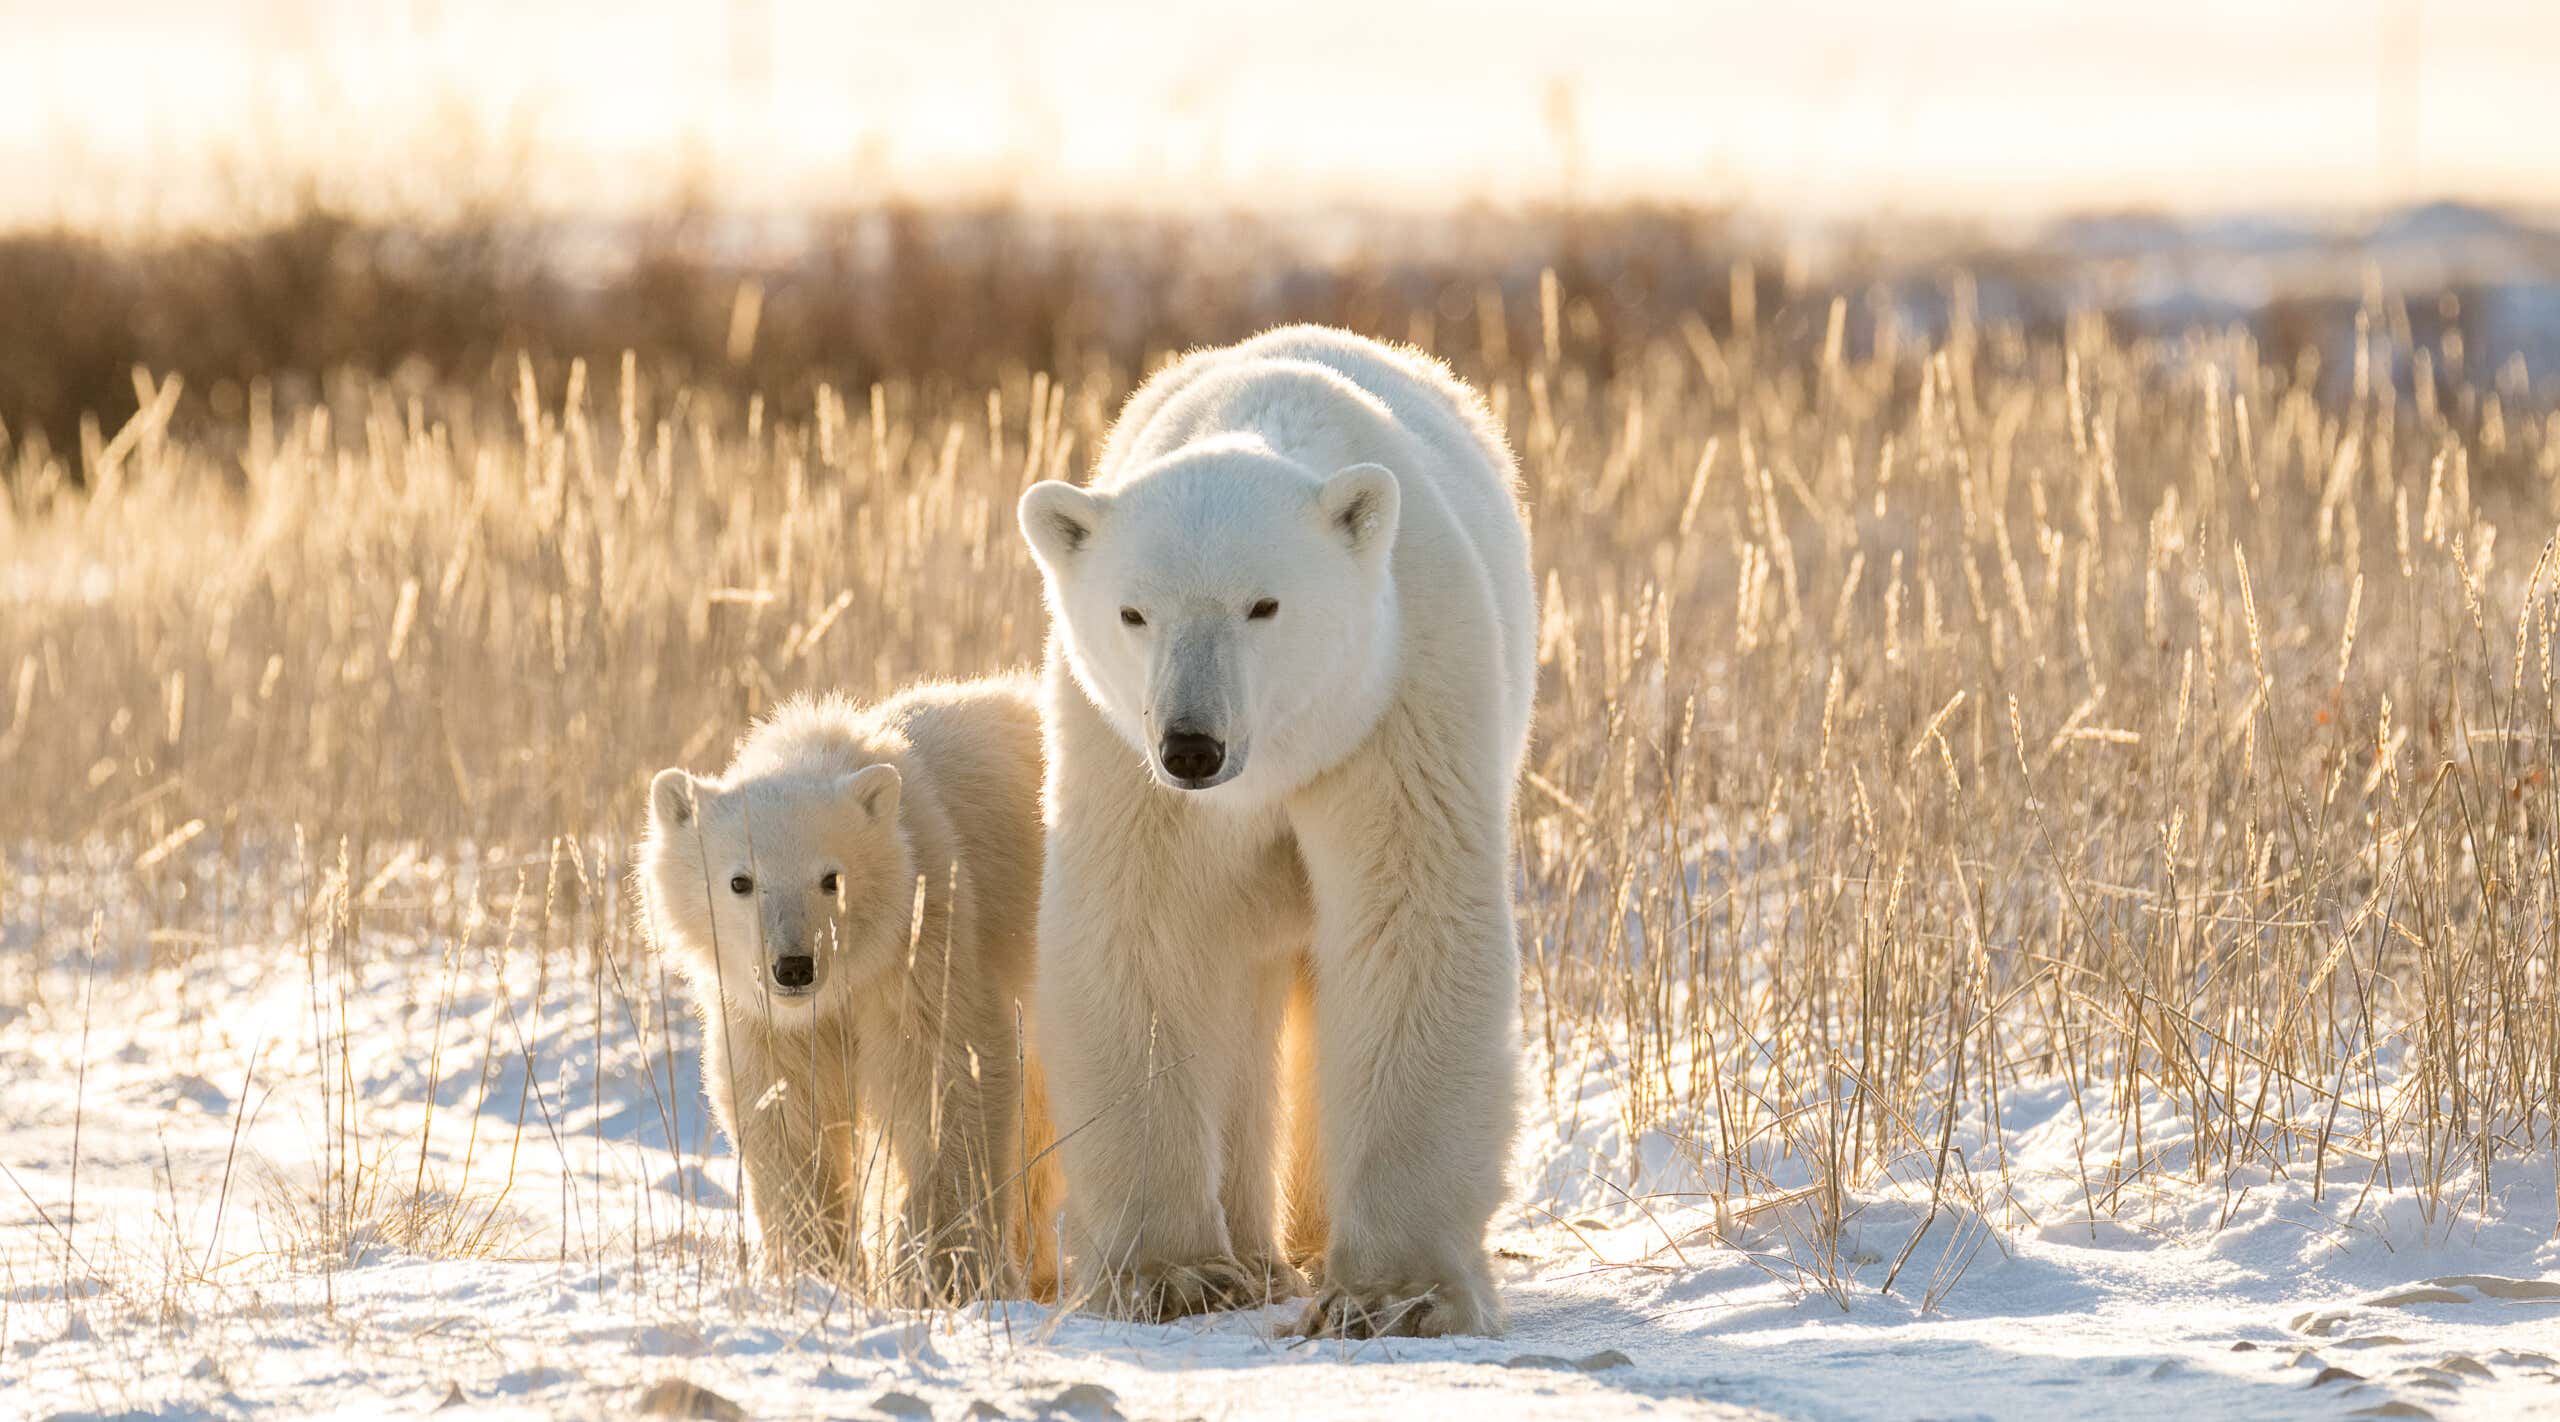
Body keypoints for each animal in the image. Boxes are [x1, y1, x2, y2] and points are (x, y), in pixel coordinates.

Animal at [635, 678, 1062, 1298]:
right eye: (740, 880)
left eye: (830, 878)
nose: (793, 966)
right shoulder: (767, 1018)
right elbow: (784, 1105)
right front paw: (815, 1268)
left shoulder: (924, 948)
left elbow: (944, 1076)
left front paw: (944, 1274)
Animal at [1016, 325, 1535, 1337]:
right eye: (1133, 611)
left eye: (1264, 604)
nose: (1192, 744)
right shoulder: (1123, 757)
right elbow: (1143, 934)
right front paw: (1170, 1274)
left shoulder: (1395, 708)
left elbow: (1408, 926)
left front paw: (1394, 1295)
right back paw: (1256, 1257)